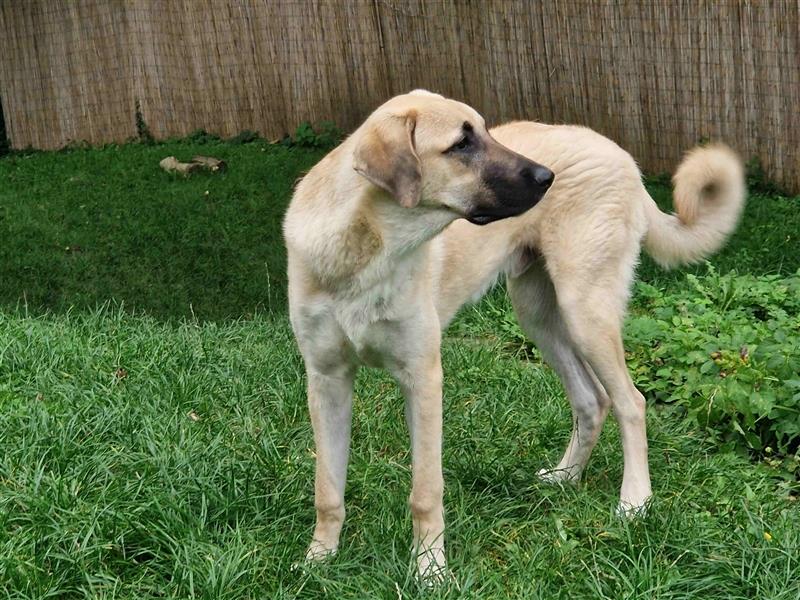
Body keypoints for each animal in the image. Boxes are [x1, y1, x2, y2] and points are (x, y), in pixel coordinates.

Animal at [282, 86, 744, 580]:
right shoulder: (326, 381)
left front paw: (430, 570)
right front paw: (319, 559)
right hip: (539, 317)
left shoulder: (423, 379)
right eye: (462, 144)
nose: (547, 177)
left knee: (630, 403)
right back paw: (565, 478)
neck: (364, 251)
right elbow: (327, 489)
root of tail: (621, 155)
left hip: (585, 313)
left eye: (485, 131)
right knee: (592, 400)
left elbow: (426, 491)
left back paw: (635, 502)